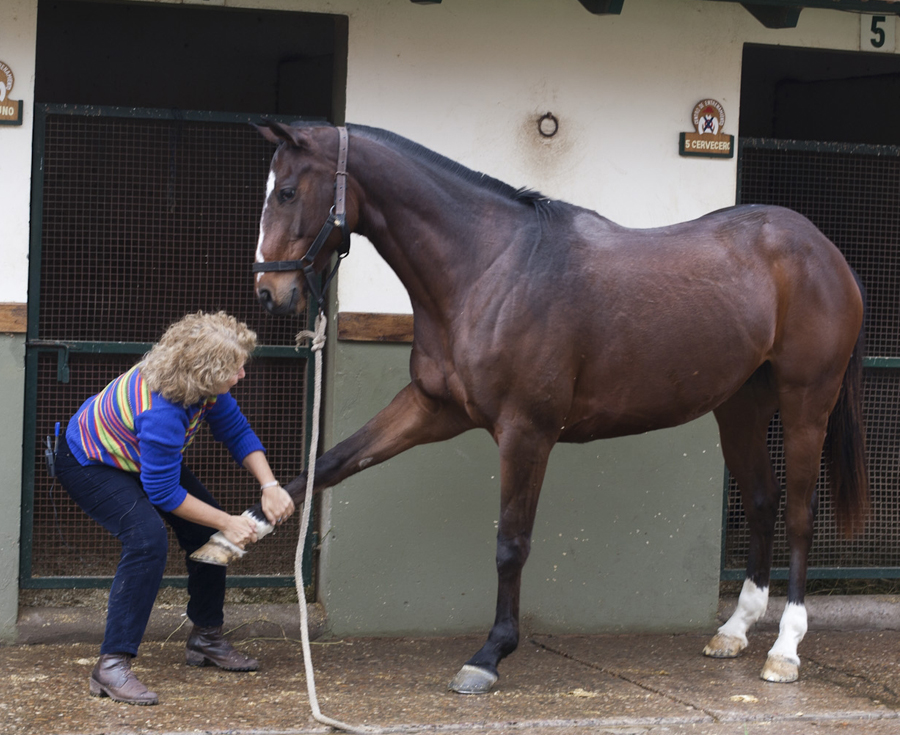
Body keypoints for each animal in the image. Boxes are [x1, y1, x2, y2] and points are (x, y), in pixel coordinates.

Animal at [193, 121, 868, 696]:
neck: (489, 268)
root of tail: (822, 249)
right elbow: (331, 463)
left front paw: (489, 655)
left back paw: (785, 649)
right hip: (741, 409)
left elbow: (510, 542)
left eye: (286, 192)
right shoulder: (432, 408)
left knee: (801, 514)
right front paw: (232, 536)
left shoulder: (526, 431)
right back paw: (734, 631)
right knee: (762, 501)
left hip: (806, 402)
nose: (268, 291)